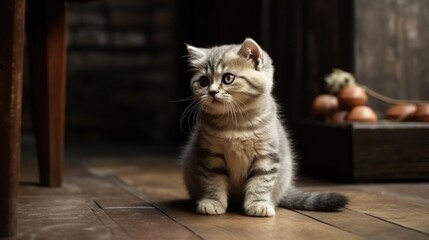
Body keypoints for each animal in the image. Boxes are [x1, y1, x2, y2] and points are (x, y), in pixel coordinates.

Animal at [179, 38, 346, 217]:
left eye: (228, 78)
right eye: (204, 81)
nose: (212, 92)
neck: (236, 123)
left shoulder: (267, 154)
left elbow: (261, 182)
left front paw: (258, 204)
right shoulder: (211, 155)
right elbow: (213, 181)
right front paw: (212, 201)